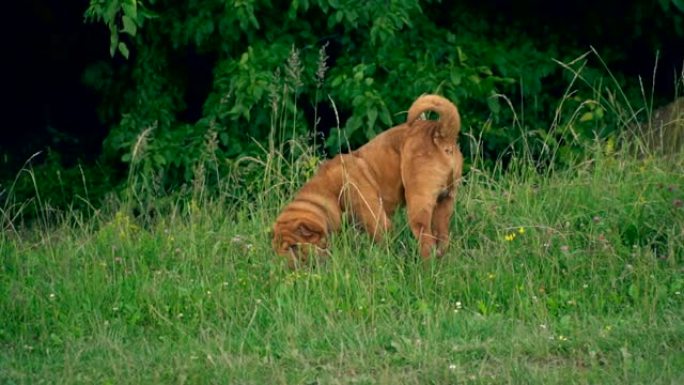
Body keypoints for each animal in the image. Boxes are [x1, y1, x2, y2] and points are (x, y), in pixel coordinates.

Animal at [270, 94, 462, 266]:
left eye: (294, 247)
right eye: (278, 250)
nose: (283, 267)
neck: (328, 193)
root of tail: (440, 132)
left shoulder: (377, 222)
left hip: (418, 207)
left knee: (427, 243)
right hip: (444, 204)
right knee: (442, 240)